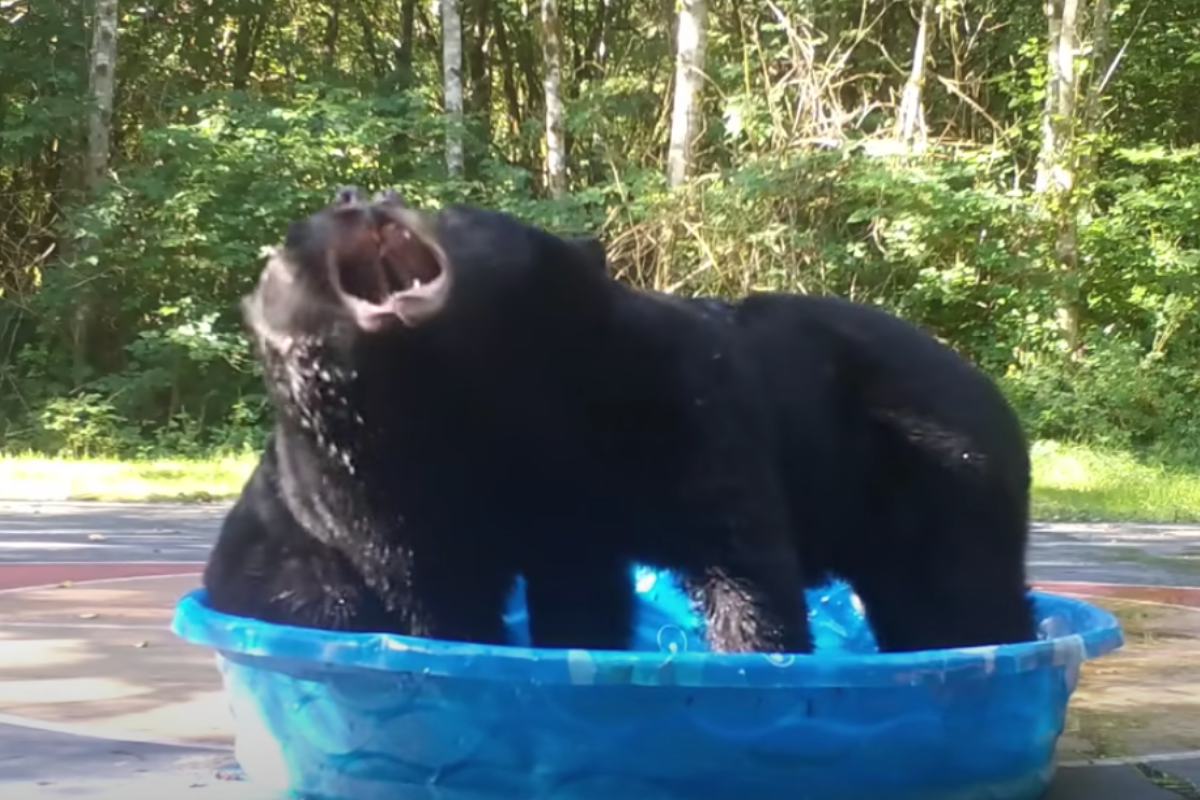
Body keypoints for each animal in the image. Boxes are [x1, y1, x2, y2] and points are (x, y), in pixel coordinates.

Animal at [204, 190, 806, 652]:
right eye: (292, 236)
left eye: (447, 211)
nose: (353, 195)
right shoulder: (367, 480)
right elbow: (433, 586)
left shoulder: (639, 415)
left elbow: (726, 557)